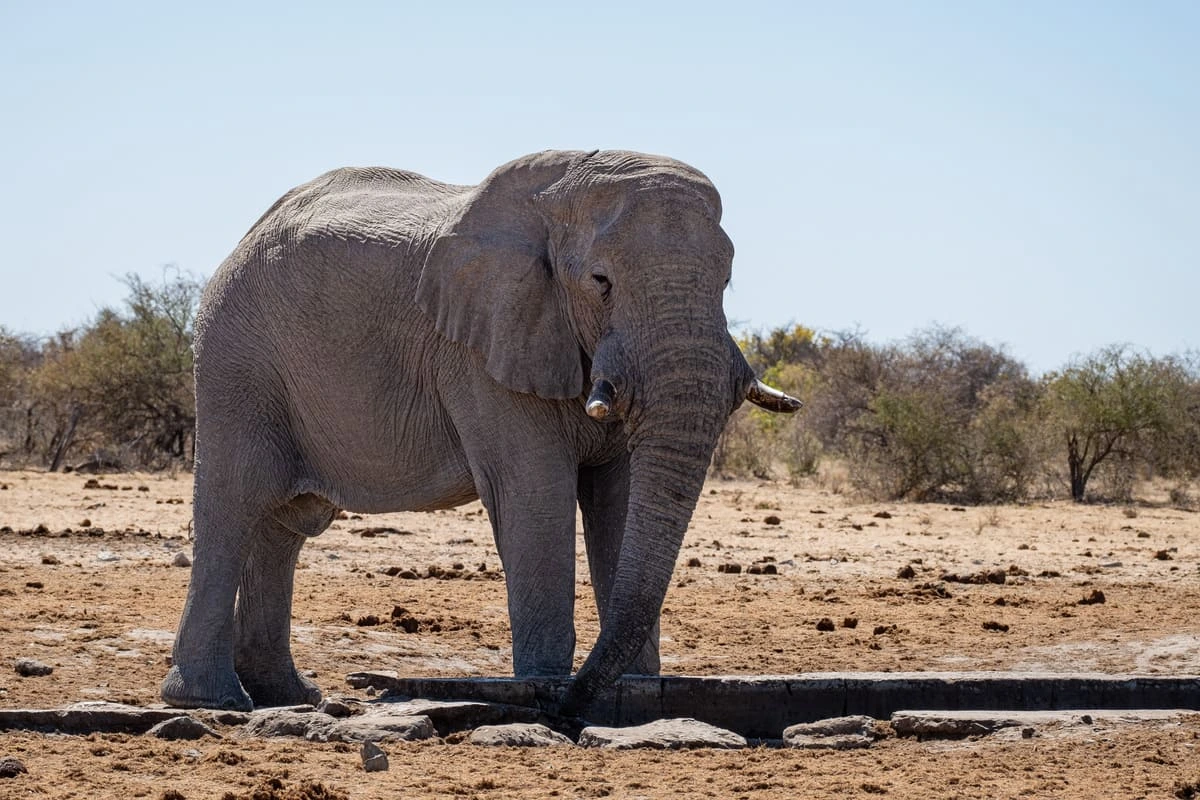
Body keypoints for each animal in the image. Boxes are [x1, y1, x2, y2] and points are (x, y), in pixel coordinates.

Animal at [160, 149, 801, 717]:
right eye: (601, 281)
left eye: (725, 280)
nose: (565, 701)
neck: (555, 205)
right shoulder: (481, 351)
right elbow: (533, 494)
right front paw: (545, 692)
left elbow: (618, 500)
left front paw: (636, 697)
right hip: (237, 360)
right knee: (235, 503)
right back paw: (213, 701)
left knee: (286, 525)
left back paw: (288, 697)